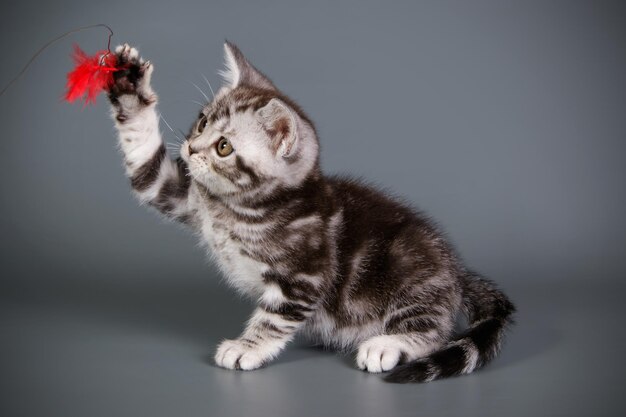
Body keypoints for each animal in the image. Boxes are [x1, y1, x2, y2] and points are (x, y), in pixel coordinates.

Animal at [107, 40, 516, 382]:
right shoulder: (179, 194)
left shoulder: (304, 276)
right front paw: (129, 90)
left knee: (434, 331)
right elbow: (146, 165)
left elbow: (273, 318)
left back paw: (386, 344)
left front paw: (246, 347)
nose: (191, 148)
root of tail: (457, 272)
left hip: (412, 270)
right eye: (203, 121)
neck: (239, 208)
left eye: (224, 147)